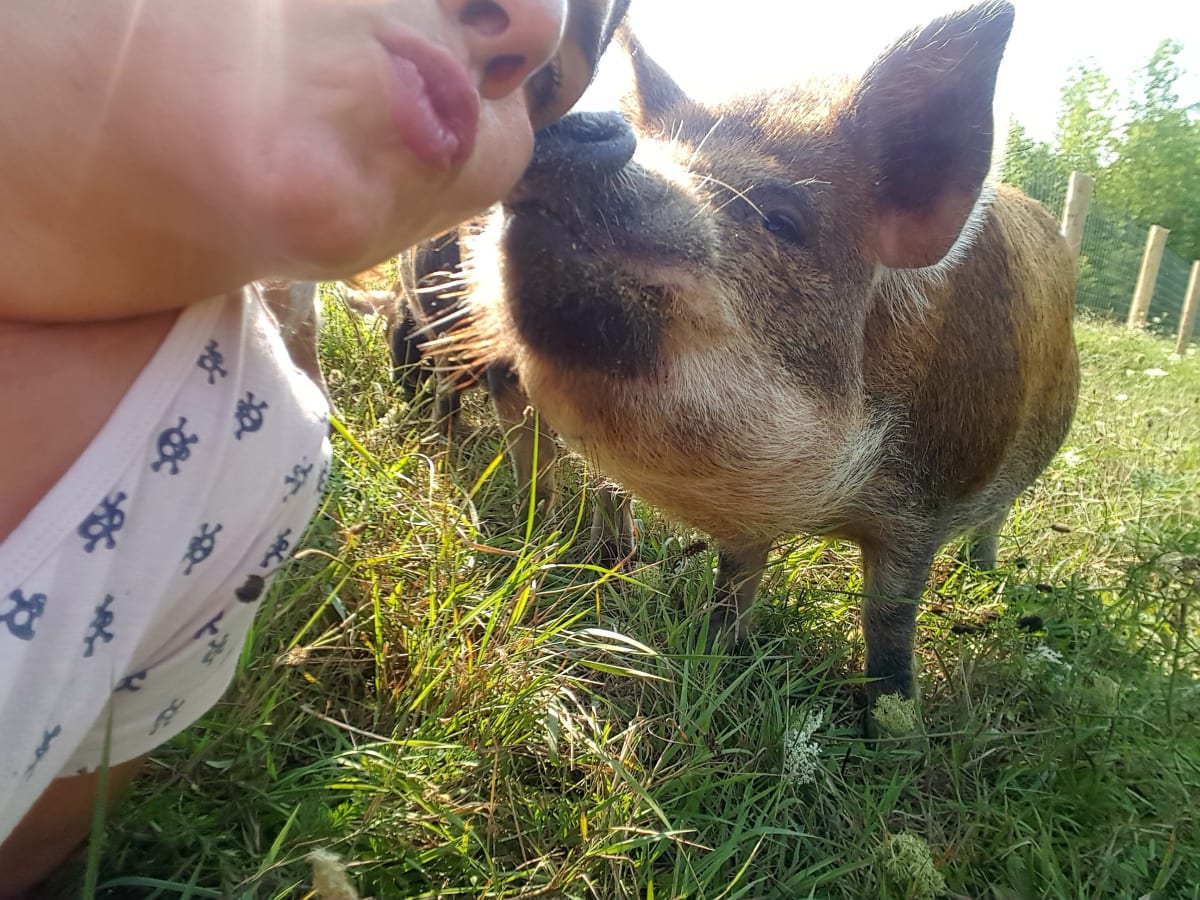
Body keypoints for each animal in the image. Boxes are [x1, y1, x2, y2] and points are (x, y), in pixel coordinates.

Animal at [444, 0, 1080, 718]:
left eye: (781, 218)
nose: (577, 126)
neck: (828, 502)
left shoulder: (927, 502)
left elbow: (889, 618)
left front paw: (893, 723)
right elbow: (737, 578)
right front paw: (719, 651)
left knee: (996, 518)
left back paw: (983, 572)